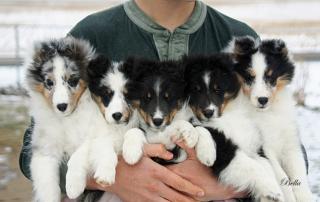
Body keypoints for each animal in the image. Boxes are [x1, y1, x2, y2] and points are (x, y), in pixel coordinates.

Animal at [184, 53, 284, 202]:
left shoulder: (254, 147)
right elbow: (255, 167)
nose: (208, 112)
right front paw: (273, 191)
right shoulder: (226, 152)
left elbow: (267, 166)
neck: (227, 115)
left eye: (217, 89)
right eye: (196, 90)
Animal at [230, 36, 316, 202]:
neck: (268, 113)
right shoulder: (264, 148)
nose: (262, 100)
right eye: (249, 77)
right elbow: (283, 178)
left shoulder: (291, 144)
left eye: (270, 76)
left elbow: (300, 177)